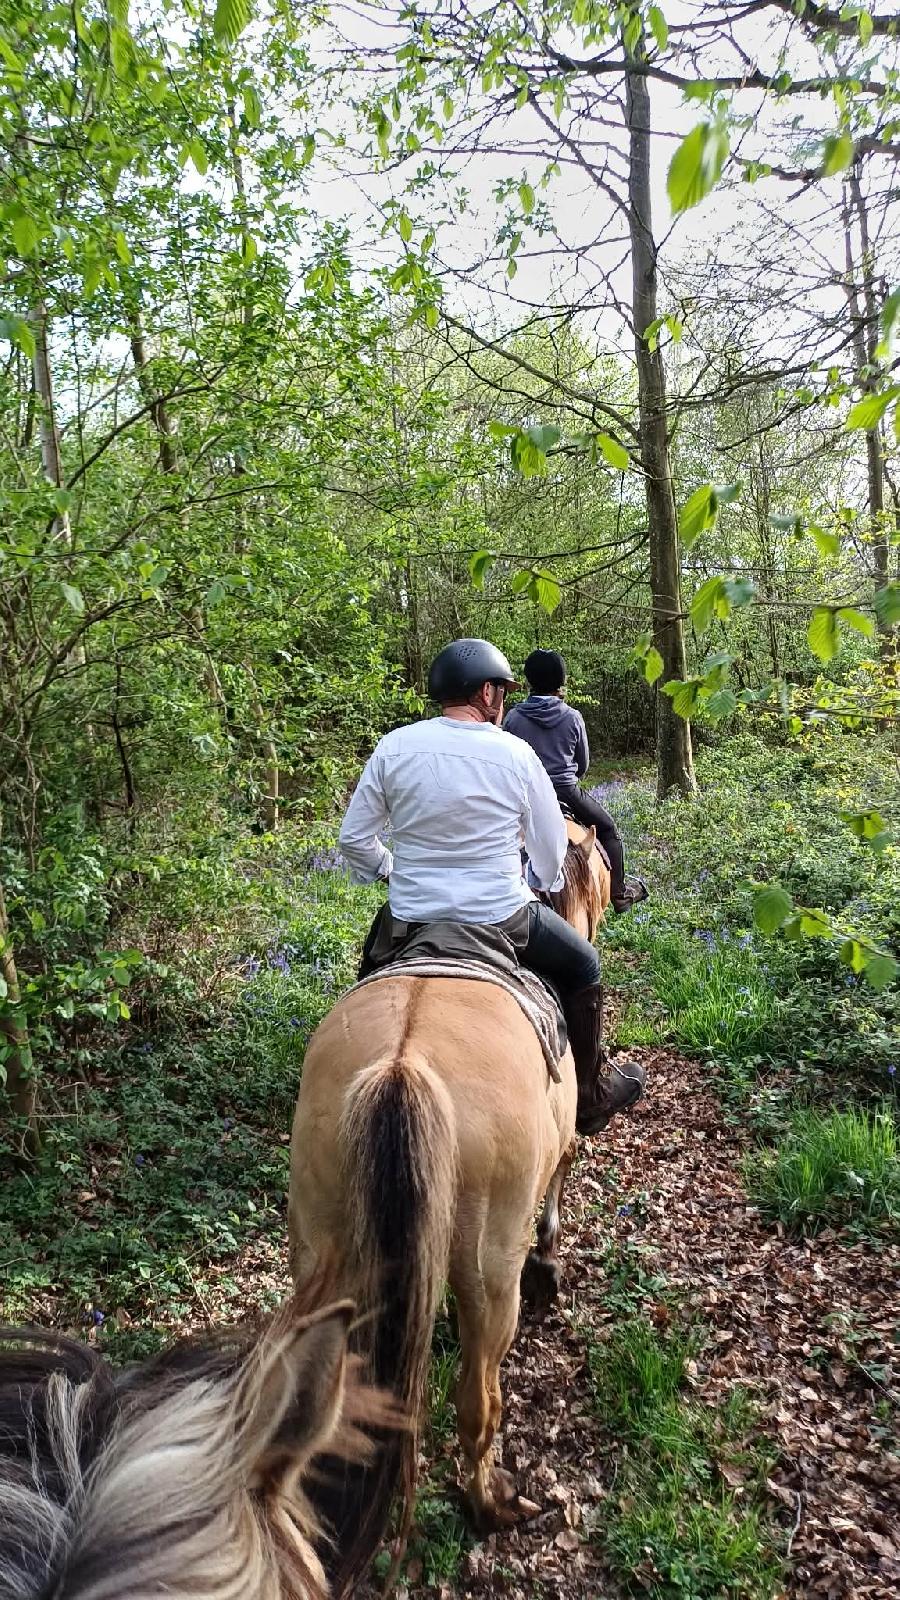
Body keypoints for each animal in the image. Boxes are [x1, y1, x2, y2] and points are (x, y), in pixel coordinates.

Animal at [288, 820, 609, 1552]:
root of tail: (402, 1067)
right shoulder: (562, 1142)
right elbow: (563, 1175)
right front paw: (551, 1263)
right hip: (489, 1275)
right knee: (478, 1402)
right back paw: (492, 1506)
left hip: (322, 1253)